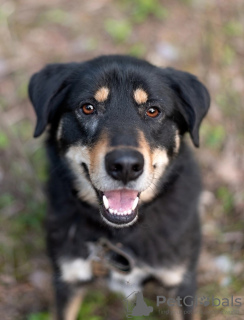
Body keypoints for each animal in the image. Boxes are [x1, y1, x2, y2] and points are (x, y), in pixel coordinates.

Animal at [28, 55, 211, 320]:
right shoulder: (68, 278)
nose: (125, 166)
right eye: (88, 107)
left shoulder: (181, 282)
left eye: (153, 111)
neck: (121, 236)